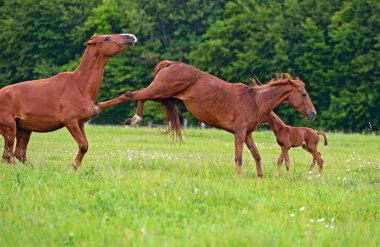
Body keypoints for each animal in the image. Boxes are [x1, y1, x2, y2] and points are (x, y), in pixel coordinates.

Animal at [0, 32, 137, 169]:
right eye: (106, 38)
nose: (131, 36)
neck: (79, 86)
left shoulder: (80, 123)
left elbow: (86, 145)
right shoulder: (70, 122)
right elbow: (83, 145)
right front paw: (73, 167)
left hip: (24, 129)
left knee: (18, 153)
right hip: (9, 129)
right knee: (9, 155)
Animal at [96, 61, 316, 178]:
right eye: (304, 94)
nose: (313, 114)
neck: (255, 100)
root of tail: (171, 64)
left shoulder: (247, 134)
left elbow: (257, 155)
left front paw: (261, 178)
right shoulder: (239, 133)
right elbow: (239, 157)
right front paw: (239, 179)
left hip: (161, 94)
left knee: (138, 95)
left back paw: (134, 118)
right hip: (159, 90)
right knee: (130, 94)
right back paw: (105, 109)